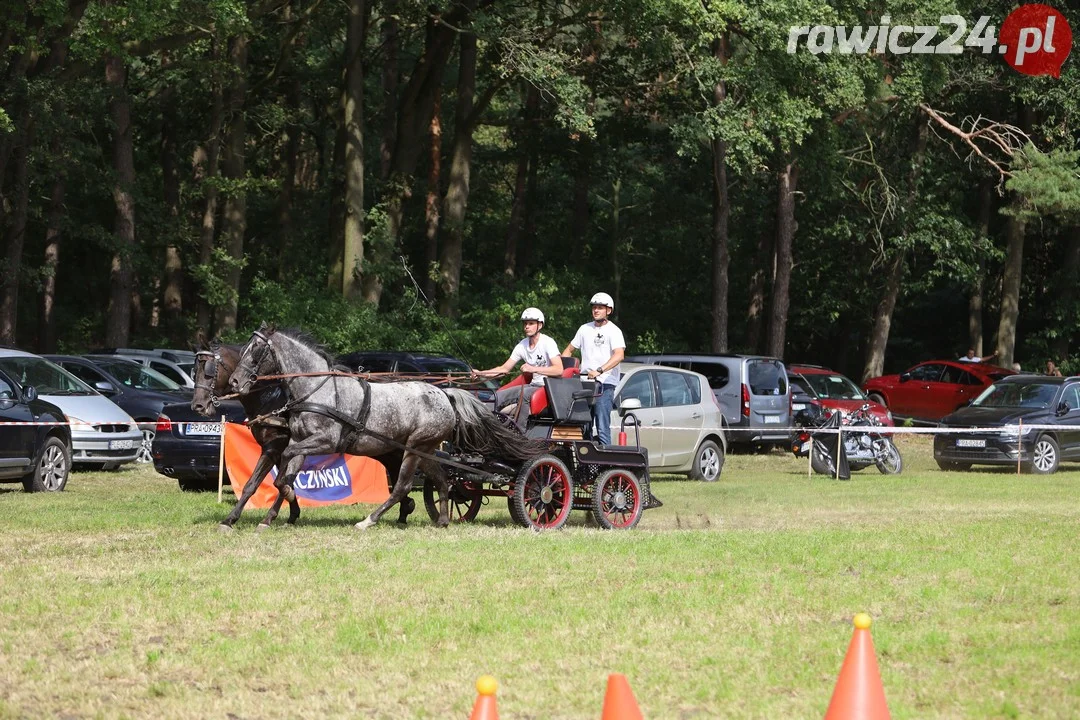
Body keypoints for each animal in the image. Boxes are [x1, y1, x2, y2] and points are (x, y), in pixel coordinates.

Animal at [192, 341, 414, 533]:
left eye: (210, 371)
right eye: (194, 371)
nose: (198, 406)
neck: (271, 399)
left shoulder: (275, 447)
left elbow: (259, 483)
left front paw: (258, 519)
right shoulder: (283, 448)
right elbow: (278, 481)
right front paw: (290, 513)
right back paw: (405, 508)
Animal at [230, 325, 548, 528]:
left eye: (255, 350)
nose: (234, 382)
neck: (317, 390)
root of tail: (445, 394)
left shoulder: (325, 441)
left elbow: (284, 468)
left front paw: (286, 502)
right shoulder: (300, 441)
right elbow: (285, 474)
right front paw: (272, 515)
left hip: (414, 448)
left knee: (403, 486)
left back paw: (369, 520)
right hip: (425, 450)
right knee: (441, 480)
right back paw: (443, 520)